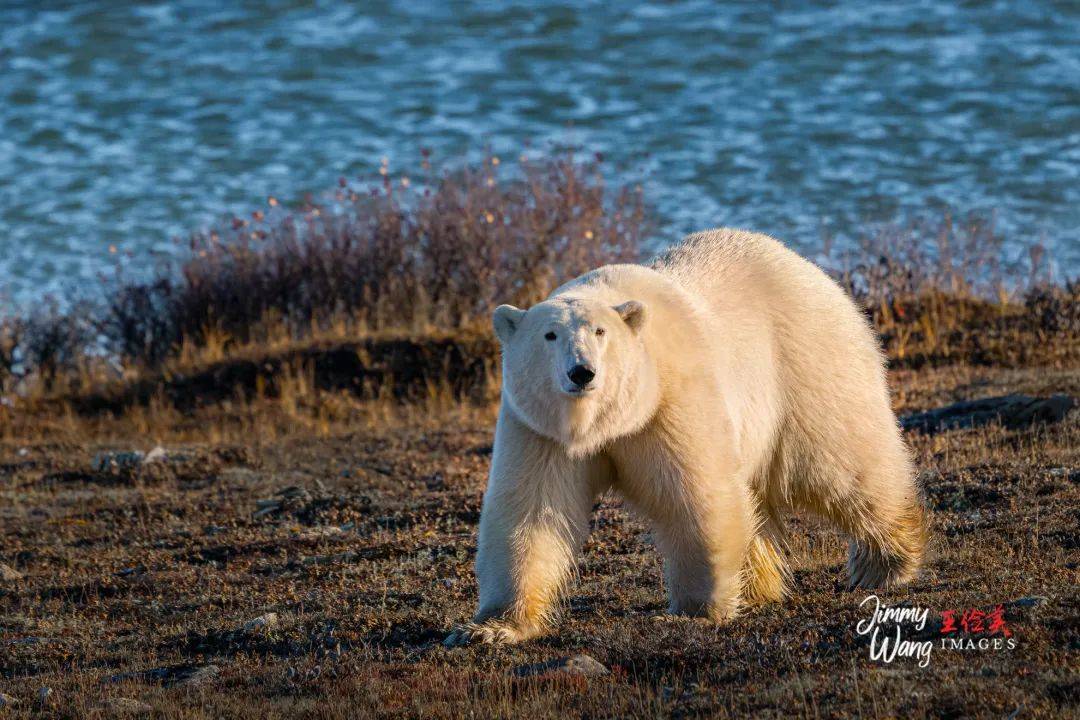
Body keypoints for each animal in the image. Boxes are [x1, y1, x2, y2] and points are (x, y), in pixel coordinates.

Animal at [442, 227, 924, 643]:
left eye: (600, 331)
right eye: (549, 334)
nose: (582, 372)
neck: (604, 422)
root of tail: (809, 268)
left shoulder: (669, 401)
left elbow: (695, 495)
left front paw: (695, 611)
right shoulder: (540, 428)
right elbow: (529, 511)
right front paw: (489, 628)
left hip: (805, 365)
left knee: (841, 463)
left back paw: (886, 563)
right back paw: (759, 586)